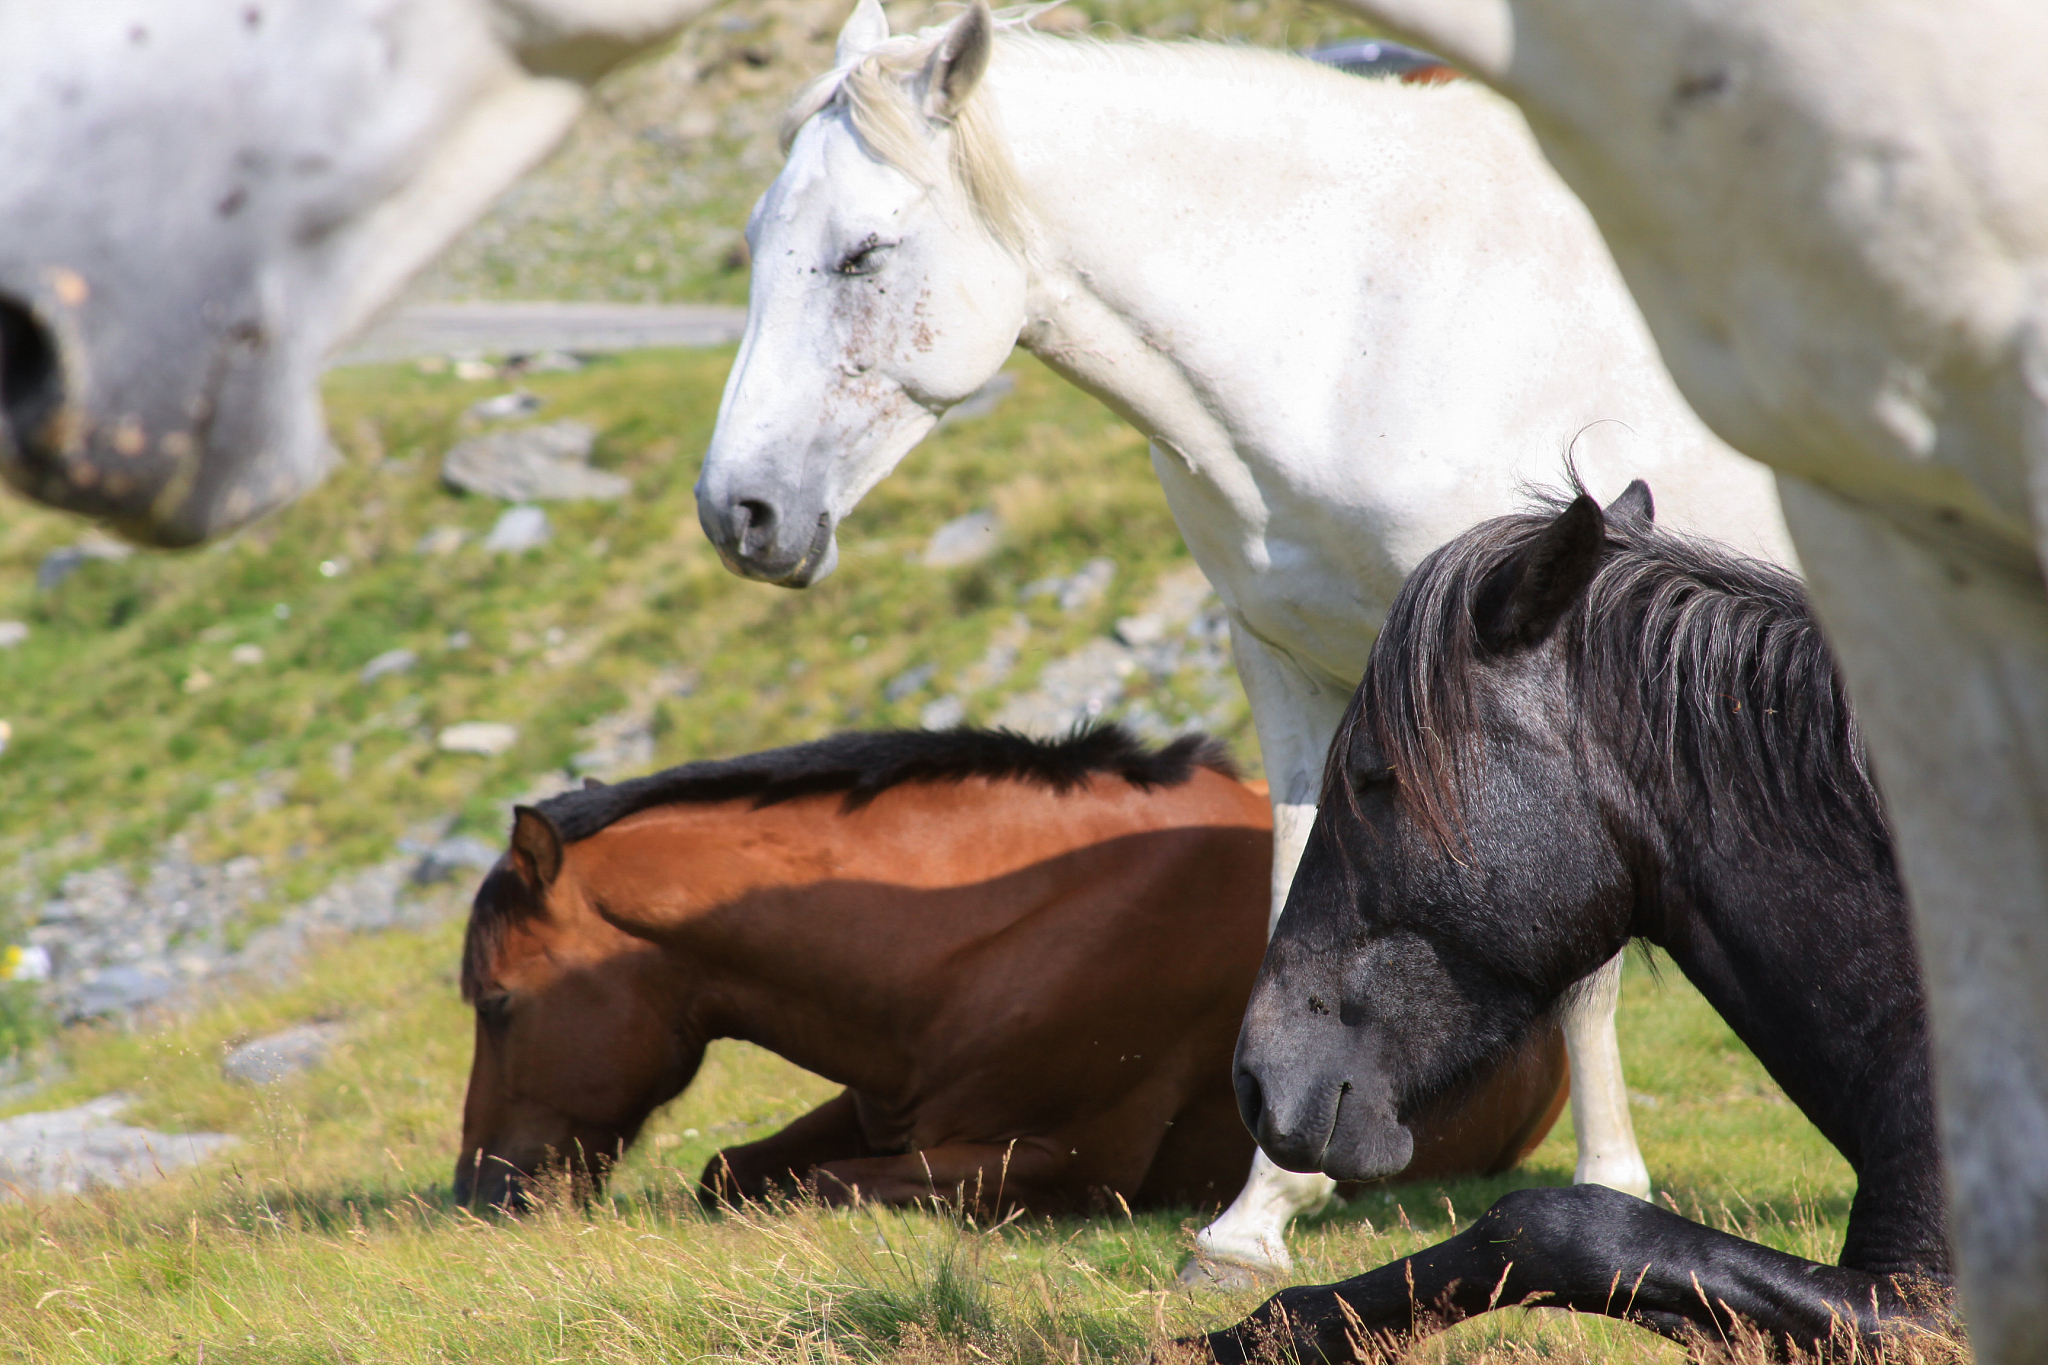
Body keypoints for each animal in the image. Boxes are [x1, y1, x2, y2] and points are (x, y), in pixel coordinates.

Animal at [453, 725, 1572, 1216]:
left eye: (497, 1002)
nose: (477, 1192)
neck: (985, 931)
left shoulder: (1057, 1163)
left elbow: (816, 1185)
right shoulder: (882, 1105)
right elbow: (728, 1170)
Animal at [694, 0, 1797, 1276]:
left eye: (863, 254)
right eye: (756, 241)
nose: (738, 512)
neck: (1357, 328)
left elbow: (1578, 966)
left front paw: (1608, 1185)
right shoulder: (1287, 667)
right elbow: (1293, 907)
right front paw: (1254, 1219)